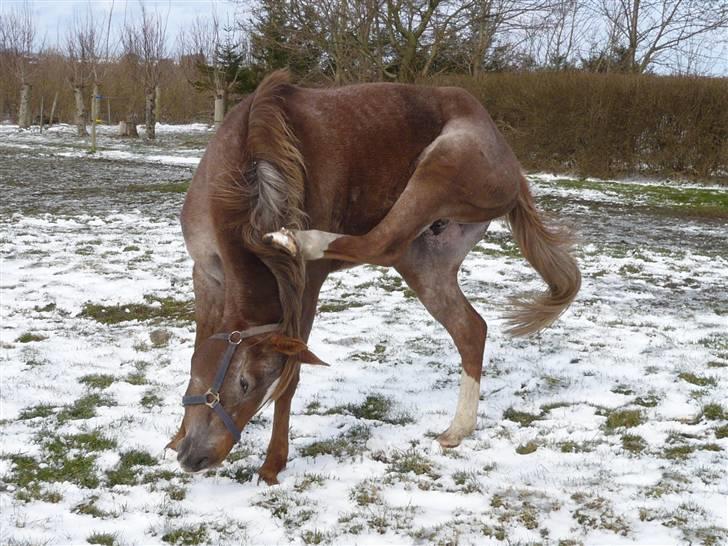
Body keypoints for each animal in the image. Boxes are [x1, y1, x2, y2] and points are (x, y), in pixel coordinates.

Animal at [169, 70, 580, 482]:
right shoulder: (205, 275)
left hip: (438, 170)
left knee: (383, 243)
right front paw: (177, 436)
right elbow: (200, 345)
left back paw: (298, 240)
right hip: (425, 263)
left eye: (247, 384)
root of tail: (513, 167)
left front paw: (273, 465)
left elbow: (293, 375)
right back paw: (458, 429)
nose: (196, 458)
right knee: (470, 329)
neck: (250, 159)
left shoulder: (305, 287)